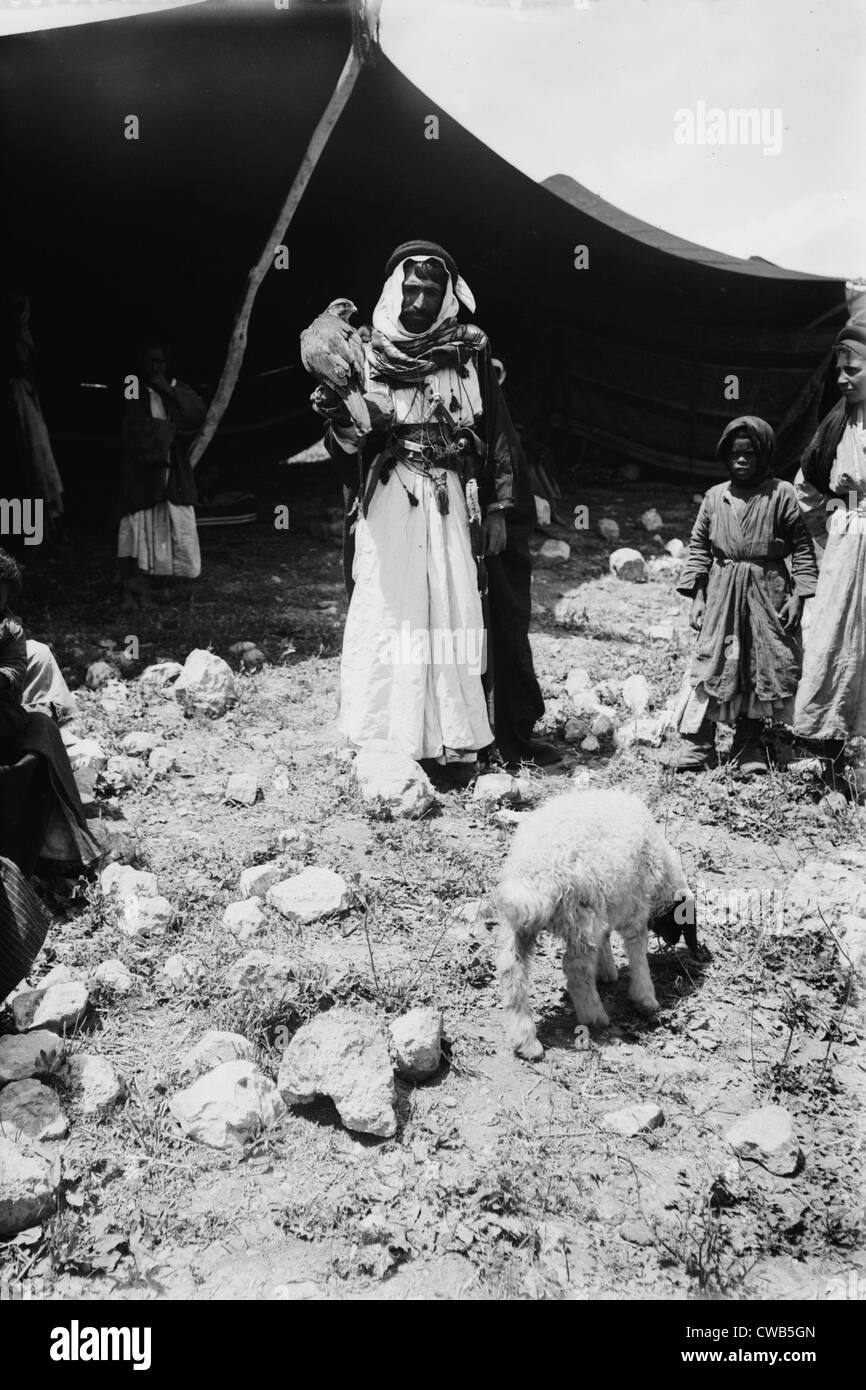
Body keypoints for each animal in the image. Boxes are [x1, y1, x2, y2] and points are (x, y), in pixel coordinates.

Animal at [494, 789, 697, 1056]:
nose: (674, 942)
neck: (661, 873)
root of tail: (538, 873)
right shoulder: (634, 912)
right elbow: (638, 953)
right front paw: (646, 998)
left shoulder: (608, 906)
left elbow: (606, 938)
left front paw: (607, 972)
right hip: (581, 916)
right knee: (575, 968)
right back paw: (594, 1016)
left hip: (522, 921)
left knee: (511, 966)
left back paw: (525, 1039)